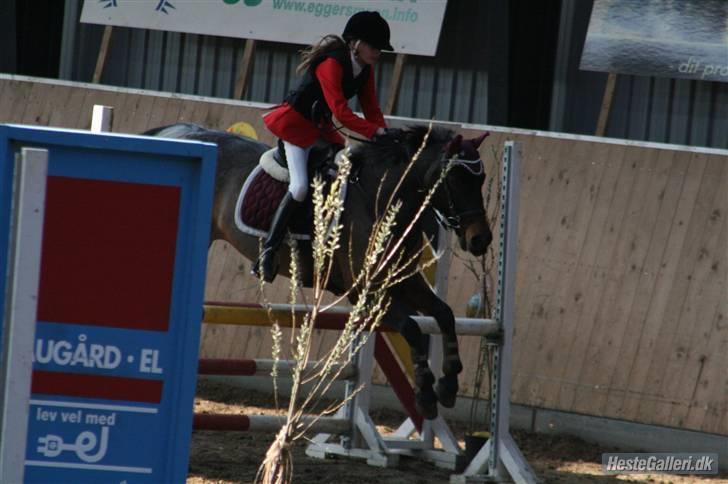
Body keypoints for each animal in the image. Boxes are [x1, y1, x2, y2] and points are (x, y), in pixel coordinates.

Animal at [145, 122, 492, 420]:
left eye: (482, 179)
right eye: (456, 179)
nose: (481, 239)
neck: (380, 200)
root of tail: (176, 131)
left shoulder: (402, 283)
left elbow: (444, 314)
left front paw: (448, 385)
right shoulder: (364, 292)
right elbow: (413, 329)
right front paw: (426, 396)